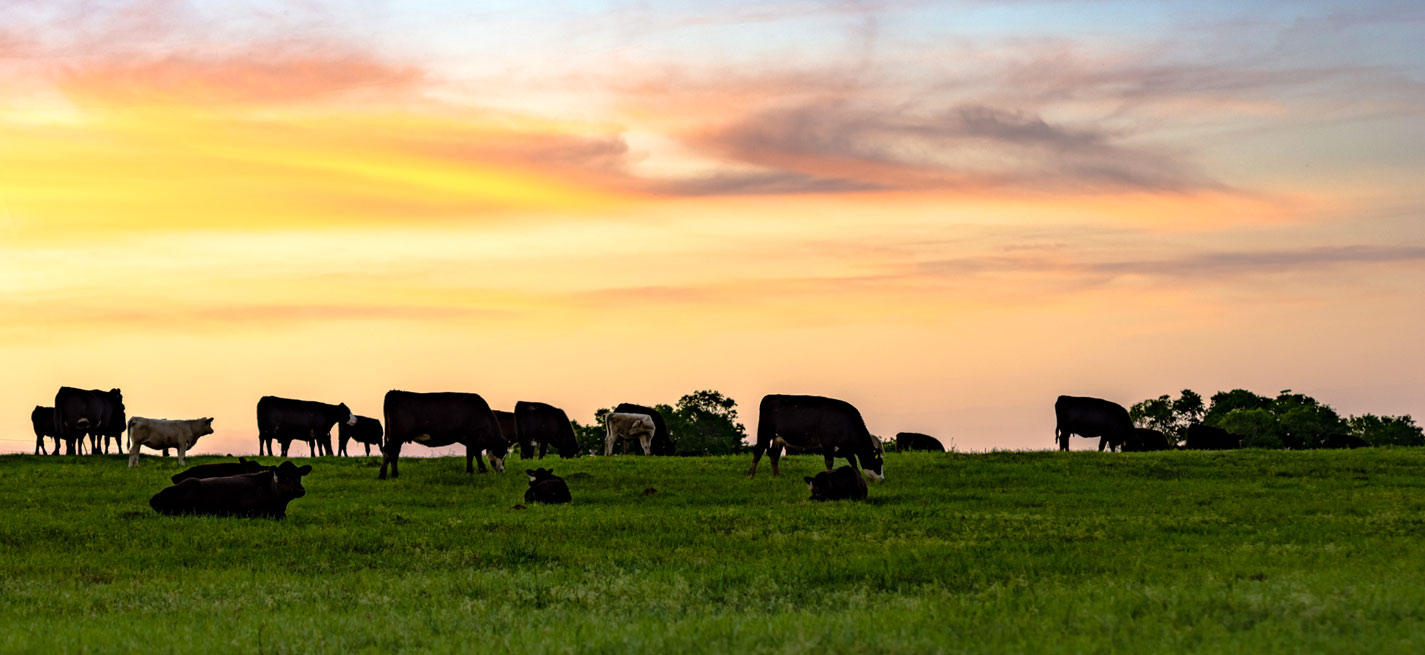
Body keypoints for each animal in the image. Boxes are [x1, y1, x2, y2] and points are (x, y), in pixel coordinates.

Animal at [381, 390, 510, 478]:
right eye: (502, 452)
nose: (502, 470)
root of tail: (394, 392)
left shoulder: (471, 441)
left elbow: (472, 455)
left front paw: (473, 471)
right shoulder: (472, 439)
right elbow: (474, 455)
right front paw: (478, 471)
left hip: (396, 437)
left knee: (392, 453)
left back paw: (392, 475)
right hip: (396, 437)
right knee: (390, 452)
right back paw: (385, 475)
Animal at [746, 393, 877, 481]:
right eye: (878, 460)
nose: (880, 479)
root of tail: (770, 397)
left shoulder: (845, 448)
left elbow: (853, 462)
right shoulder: (828, 444)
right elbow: (830, 462)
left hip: (778, 438)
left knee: (774, 455)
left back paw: (777, 476)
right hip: (764, 433)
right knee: (758, 451)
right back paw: (751, 475)